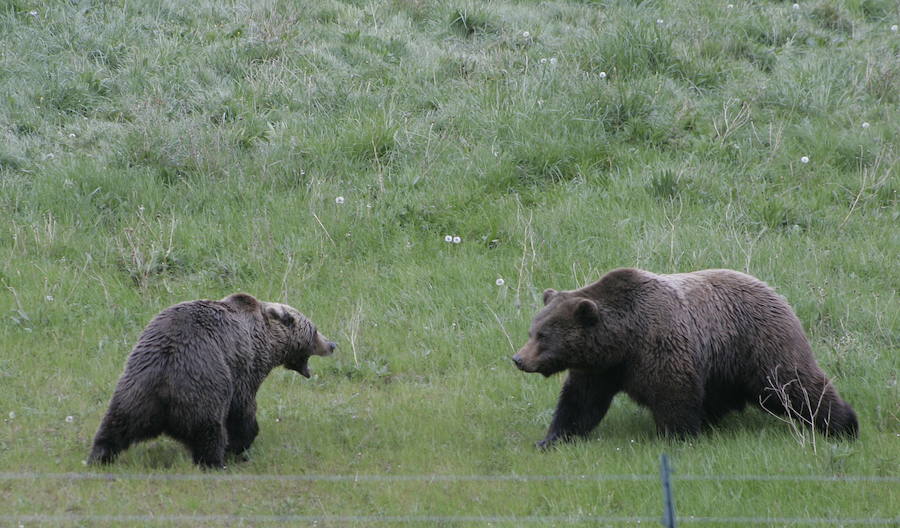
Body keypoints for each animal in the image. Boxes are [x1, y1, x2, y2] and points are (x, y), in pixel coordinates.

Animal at [89, 292, 336, 470]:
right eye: (314, 330)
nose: (332, 344)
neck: (266, 341)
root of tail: (164, 384)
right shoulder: (244, 367)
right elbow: (242, 409)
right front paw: (244, 442)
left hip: (134, 390)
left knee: (114, 426)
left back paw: (99, 457)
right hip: (204, 387)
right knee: (209, 432)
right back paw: (216, 462)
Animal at [512, 270, 856, 448]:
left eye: (542, 335)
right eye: (532, 330)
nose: (518, 359)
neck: (622, 341)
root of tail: (775, 292)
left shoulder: (659, 346)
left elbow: (673, 395)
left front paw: (677, 437)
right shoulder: (600, 369)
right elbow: (580, 404)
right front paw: (552, 439)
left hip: (759, 345)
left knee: (793, 385)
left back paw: (843, 424)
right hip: (723, 367)